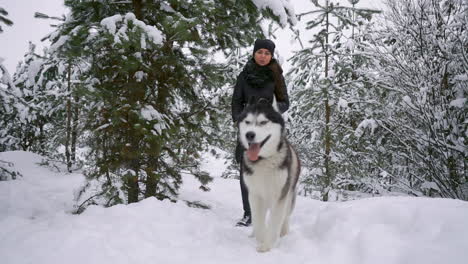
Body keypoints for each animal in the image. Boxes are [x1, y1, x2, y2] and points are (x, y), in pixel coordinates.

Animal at [238, 98, 300, 253]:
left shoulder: (279, 196)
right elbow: (258, 221)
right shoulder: (255, 194)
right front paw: (260, 239)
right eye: (247, 122)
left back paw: (284, 232)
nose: (249, 134)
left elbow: (275, 221)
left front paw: (267, 245)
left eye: (263, 122)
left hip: (289, 196)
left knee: (285, 217)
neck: (263, 161)